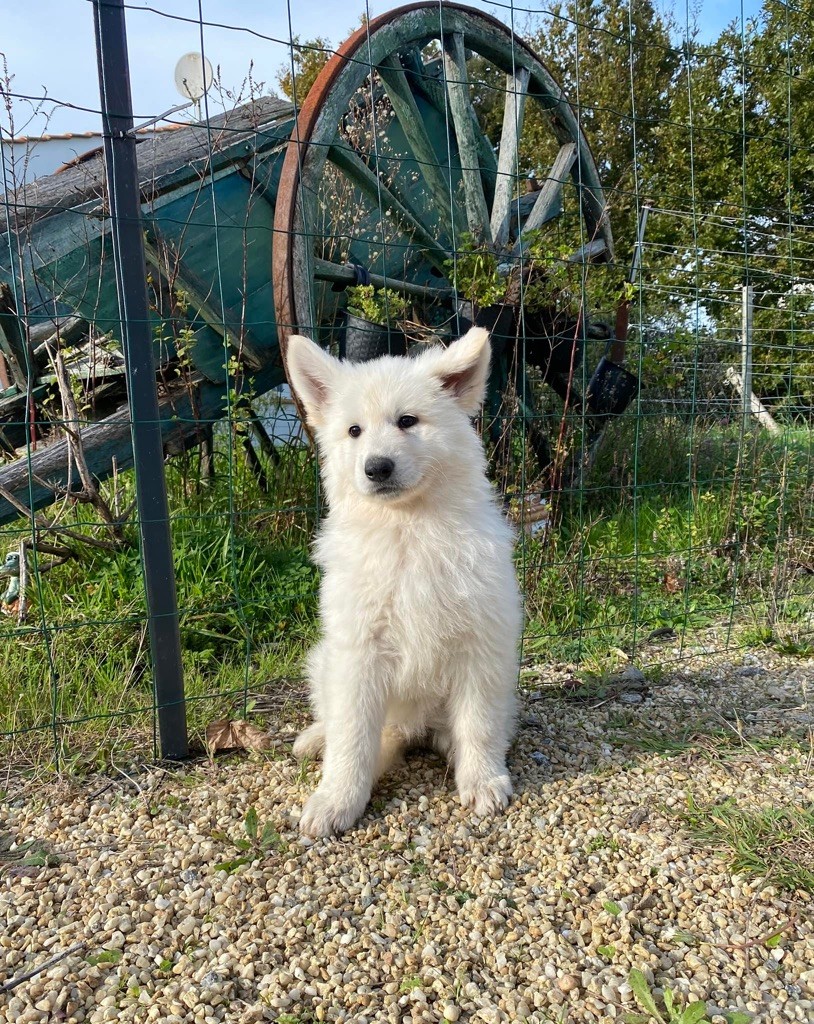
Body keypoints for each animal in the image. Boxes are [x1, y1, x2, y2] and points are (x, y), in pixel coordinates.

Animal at [286, 329, 524, 839]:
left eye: (408, 421)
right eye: (354, 431)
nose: (377, 467)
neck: (409, 529)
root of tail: (410, 730)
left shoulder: (480, 645)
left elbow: (477, 724)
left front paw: (482, 780)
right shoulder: (358, 653)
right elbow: (352, 737)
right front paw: (336, 800)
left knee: (473, 727)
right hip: (324, 660)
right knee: (337, 720)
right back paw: (316, 738)